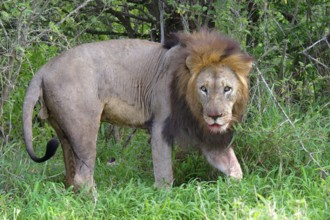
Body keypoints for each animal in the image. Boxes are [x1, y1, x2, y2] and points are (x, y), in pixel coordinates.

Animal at [22, 29, 253, 190]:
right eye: (203, 89)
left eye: (227, 89)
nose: (215, 116)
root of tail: (45, 67)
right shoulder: (159, 127)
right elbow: (164, 176)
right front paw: (164, 201)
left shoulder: (205, 133)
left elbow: (236, 170)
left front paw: (233, 194)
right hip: (84, 127)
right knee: (83, 177)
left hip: (63, 132)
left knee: (70, 175)